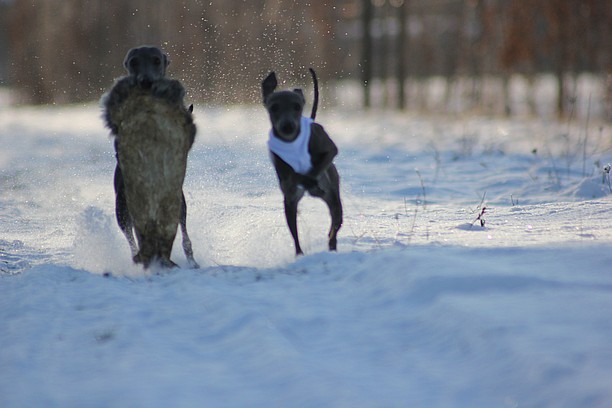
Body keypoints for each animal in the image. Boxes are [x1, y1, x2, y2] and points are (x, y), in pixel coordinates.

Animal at [101, 45, 198, 268]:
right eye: (133, 61)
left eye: (157, 60)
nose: (145, 81)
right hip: (122, 206)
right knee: (132, 237)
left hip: (177, 202)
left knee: (182, 232)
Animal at [260, 70, 342, 255]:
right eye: (274, 107)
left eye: (297, 106)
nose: (287, 126)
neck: (292, 141)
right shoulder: (282, 172)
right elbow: (291, 177)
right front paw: (303, 178)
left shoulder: (328, 147)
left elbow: (322, 160)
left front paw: (309, 176)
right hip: (290, 205)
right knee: (295, 234)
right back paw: (300, 253)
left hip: (332, 196)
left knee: (336, 222)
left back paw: (331, 243)